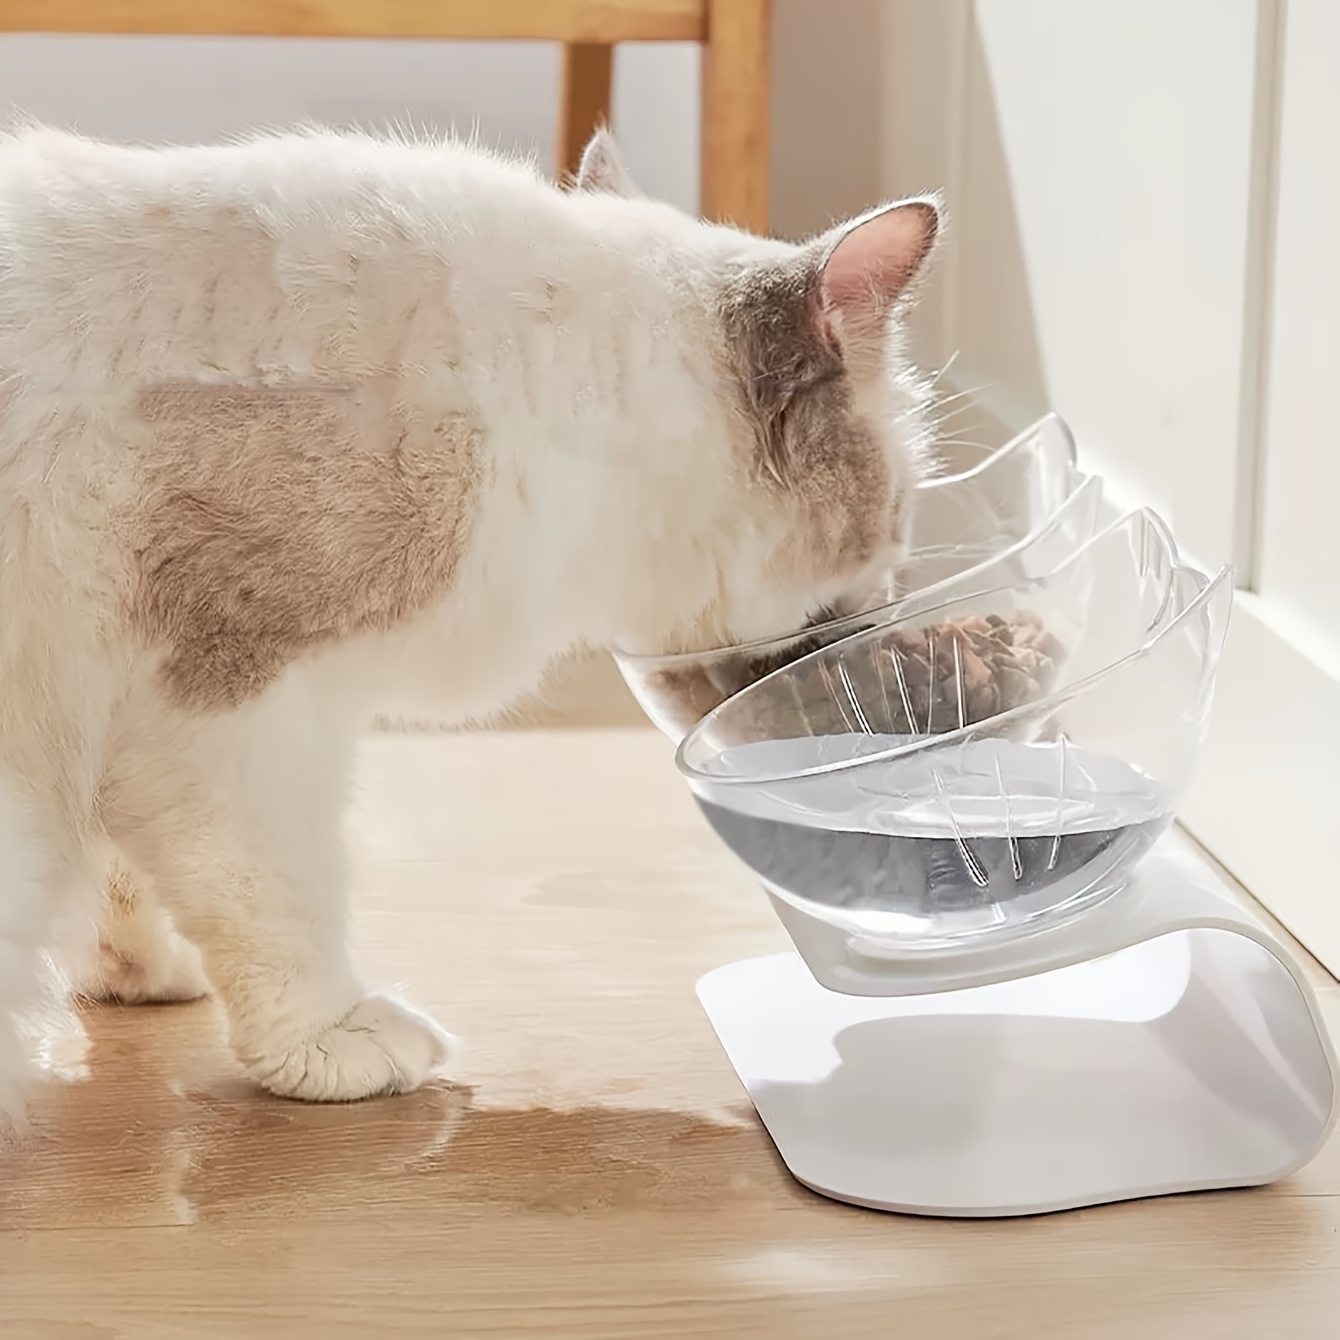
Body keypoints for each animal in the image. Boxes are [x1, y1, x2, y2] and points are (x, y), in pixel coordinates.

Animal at [0, 125, 943, 1125]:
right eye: (898, 517)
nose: (896, 597)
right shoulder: (233, 708)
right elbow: (279, 895)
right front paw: (332, 1042)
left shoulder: (128, 715)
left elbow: (126, 875)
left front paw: (145, 976)